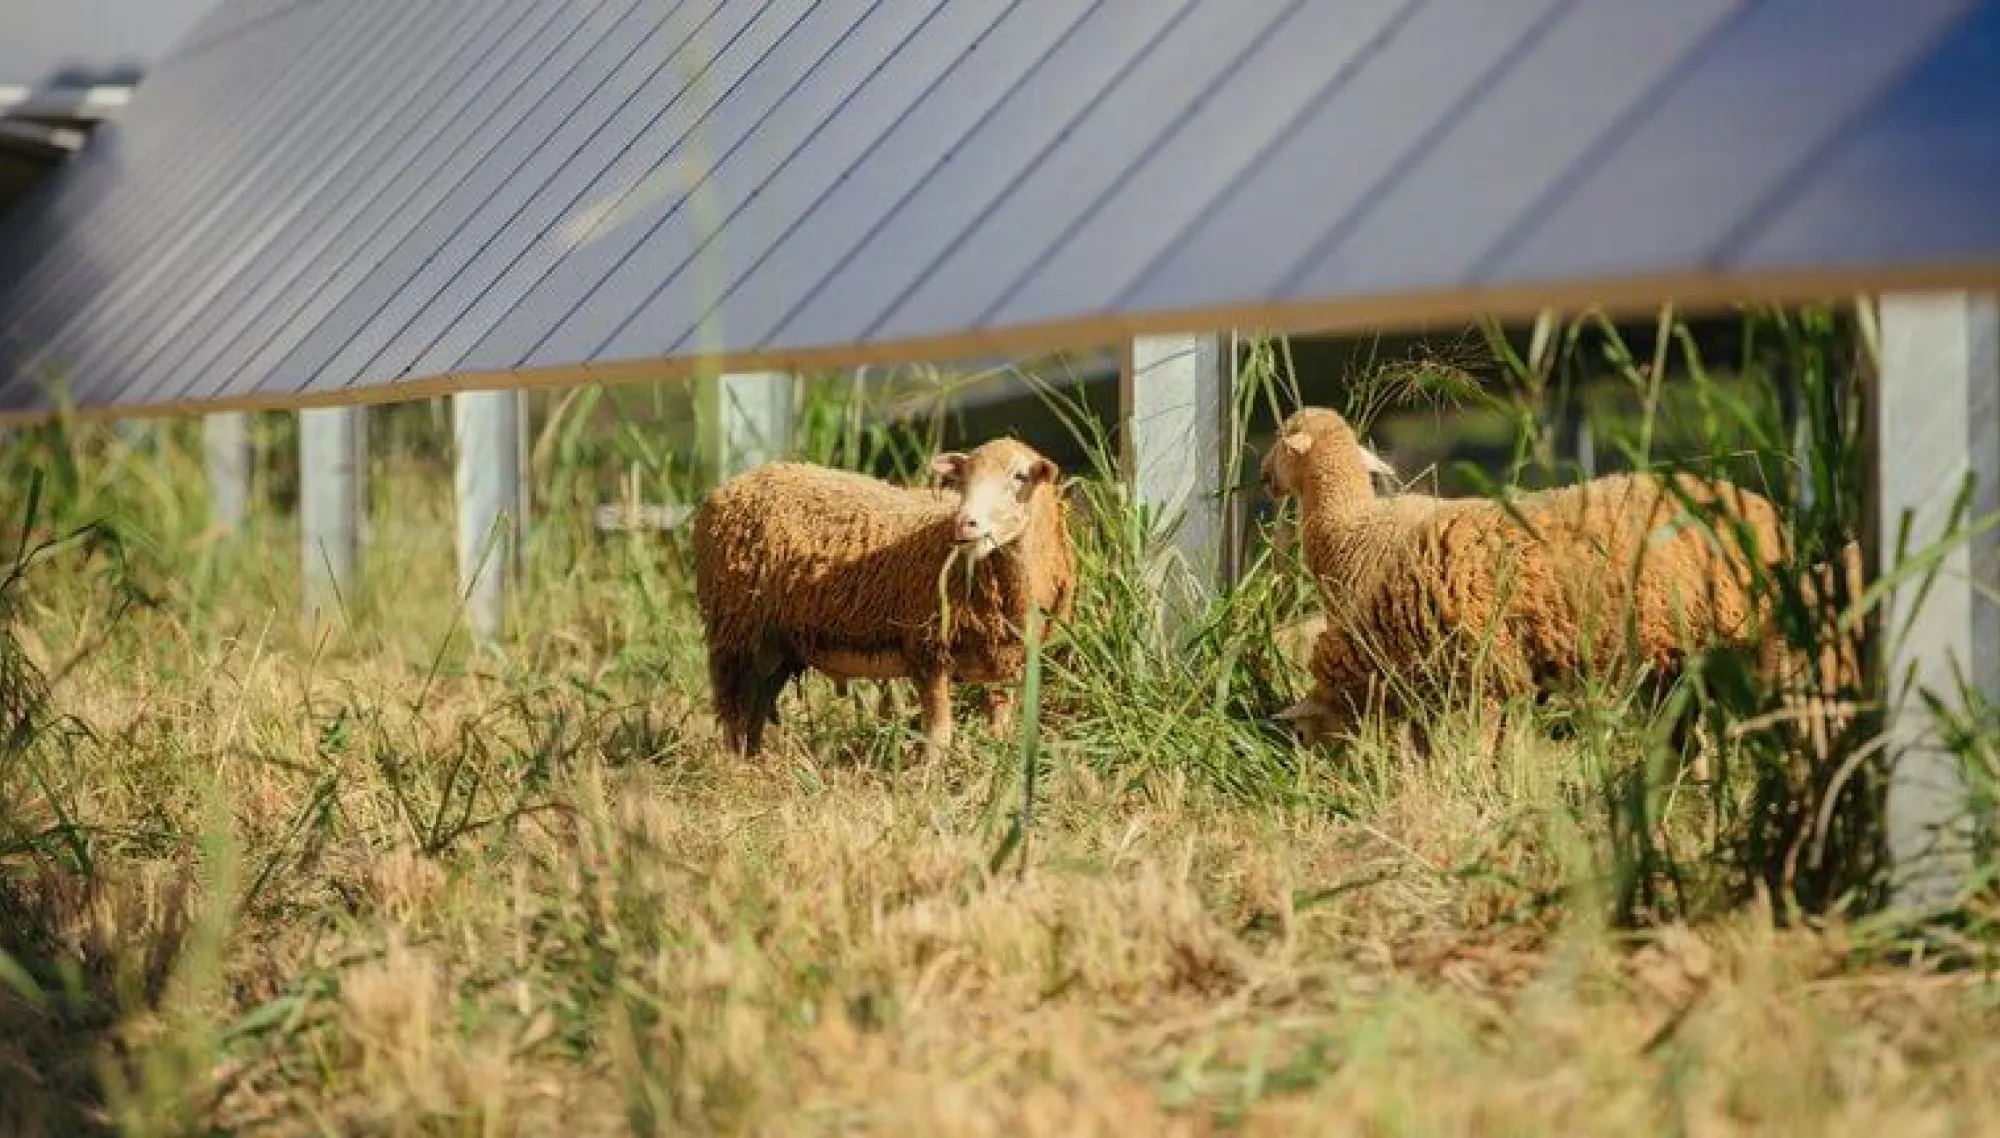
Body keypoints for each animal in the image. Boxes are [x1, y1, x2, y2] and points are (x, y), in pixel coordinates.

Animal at [690, 437, 1076, 761]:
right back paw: (736, 769)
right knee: (733, 711)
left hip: (775, 646)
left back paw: (754, 763)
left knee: (754, 709)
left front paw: (996, 768)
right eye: (963, 479)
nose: (964, 523)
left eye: (1020, 476)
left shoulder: (1005, 662)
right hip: (735, 632)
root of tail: (728, 487)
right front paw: (929, 784)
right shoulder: (927, 649)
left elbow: (999, 726)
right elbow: (939, 736)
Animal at [1260, 406, 1795, 750]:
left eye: (1283, 441)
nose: (1263, 476)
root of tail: (1770, 516)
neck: (1353, 527)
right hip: (1685, 658)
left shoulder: (1486, 675)